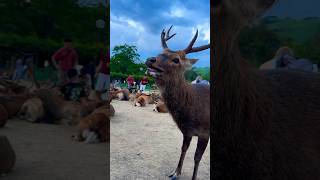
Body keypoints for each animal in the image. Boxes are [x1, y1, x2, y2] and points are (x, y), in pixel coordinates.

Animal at [145, 25, 210, 180]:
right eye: (161, 52)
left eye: (176, 60)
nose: (150, 59)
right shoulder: (187, 131)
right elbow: (183, 149)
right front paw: (175, 173)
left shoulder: (205, 132)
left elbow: (197, 158)